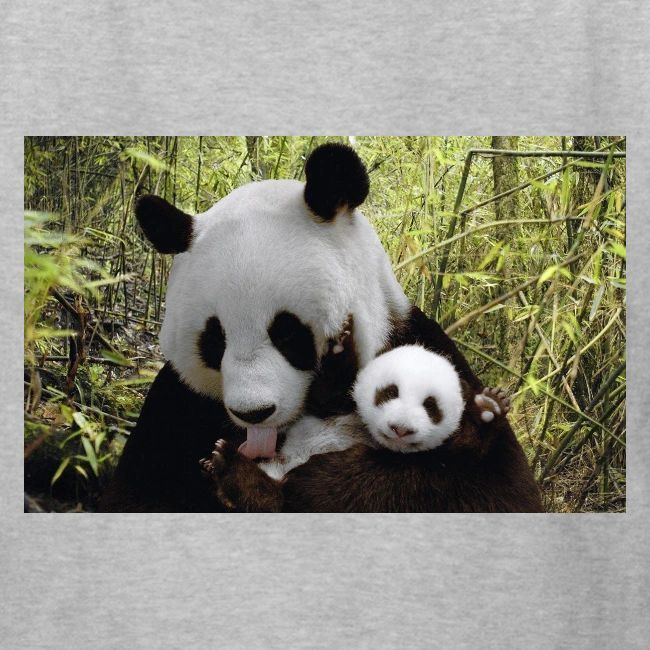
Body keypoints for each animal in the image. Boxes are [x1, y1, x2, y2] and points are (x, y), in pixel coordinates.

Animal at [100, 143, 541, 513]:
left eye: (287, 333)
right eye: (215, 340)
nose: (254, 413)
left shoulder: (421, 346)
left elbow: (490, 489)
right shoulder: (178, 405)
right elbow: (137, 493)